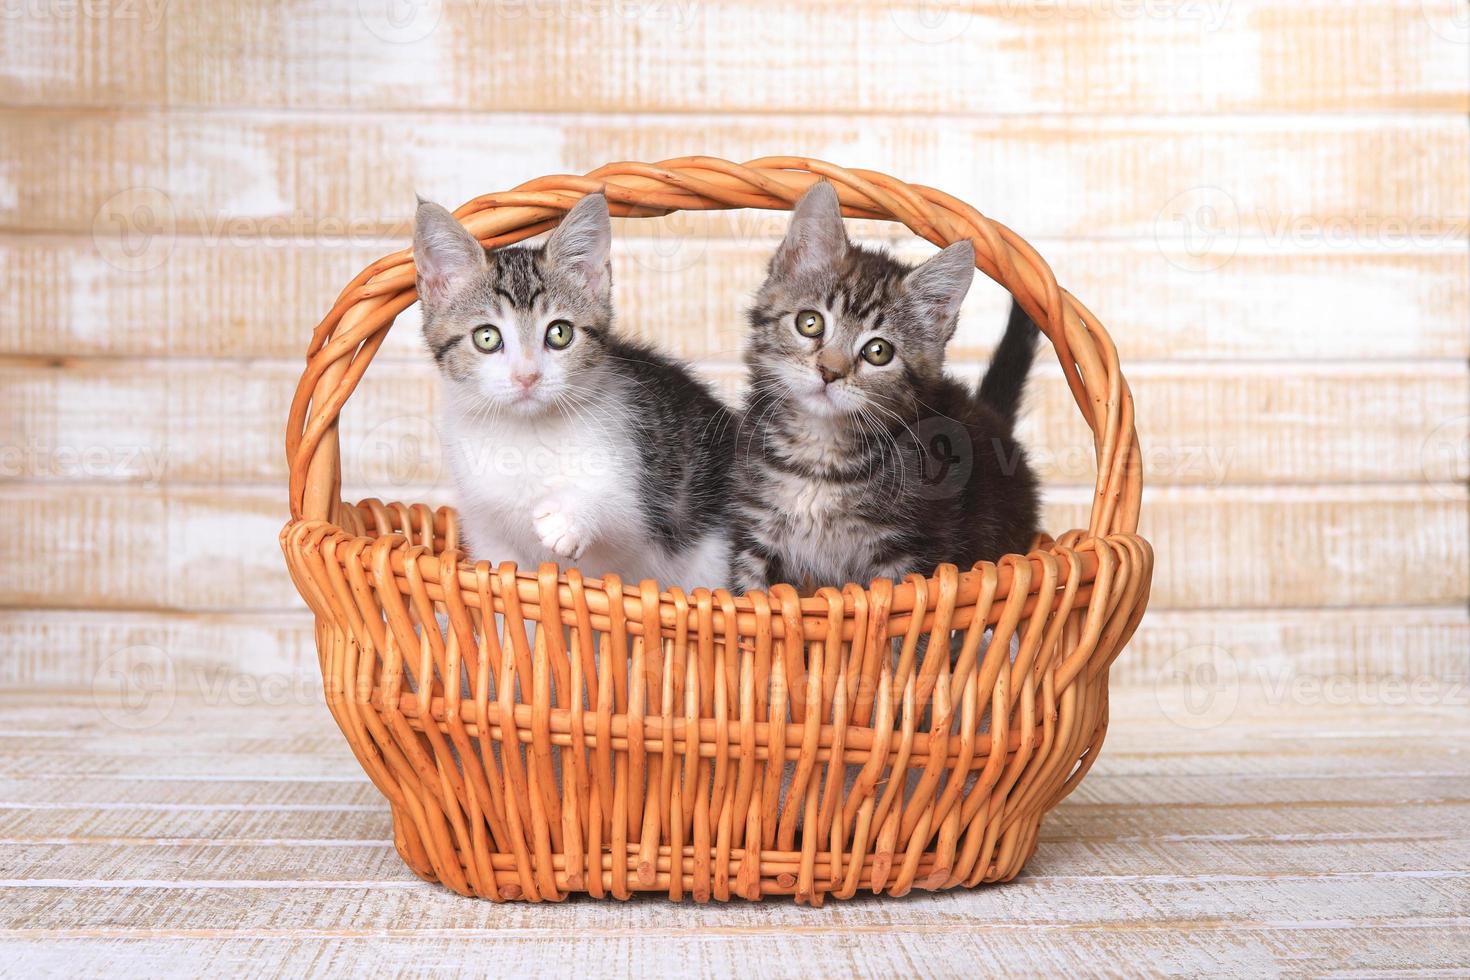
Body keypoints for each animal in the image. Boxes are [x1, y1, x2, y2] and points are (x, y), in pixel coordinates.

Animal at [411, 191, 735, 590]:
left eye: (559, 333)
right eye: (486, 337)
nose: (527, 376)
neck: (525, 434)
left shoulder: (640, 486)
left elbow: (621, 513)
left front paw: (570, 516)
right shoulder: (485, 523)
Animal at [729, 185, 1040, 599]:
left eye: (878, 351)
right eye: (809, 323)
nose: (830, 372)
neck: (819, 462)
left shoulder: (914, 552)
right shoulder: (757, 536)